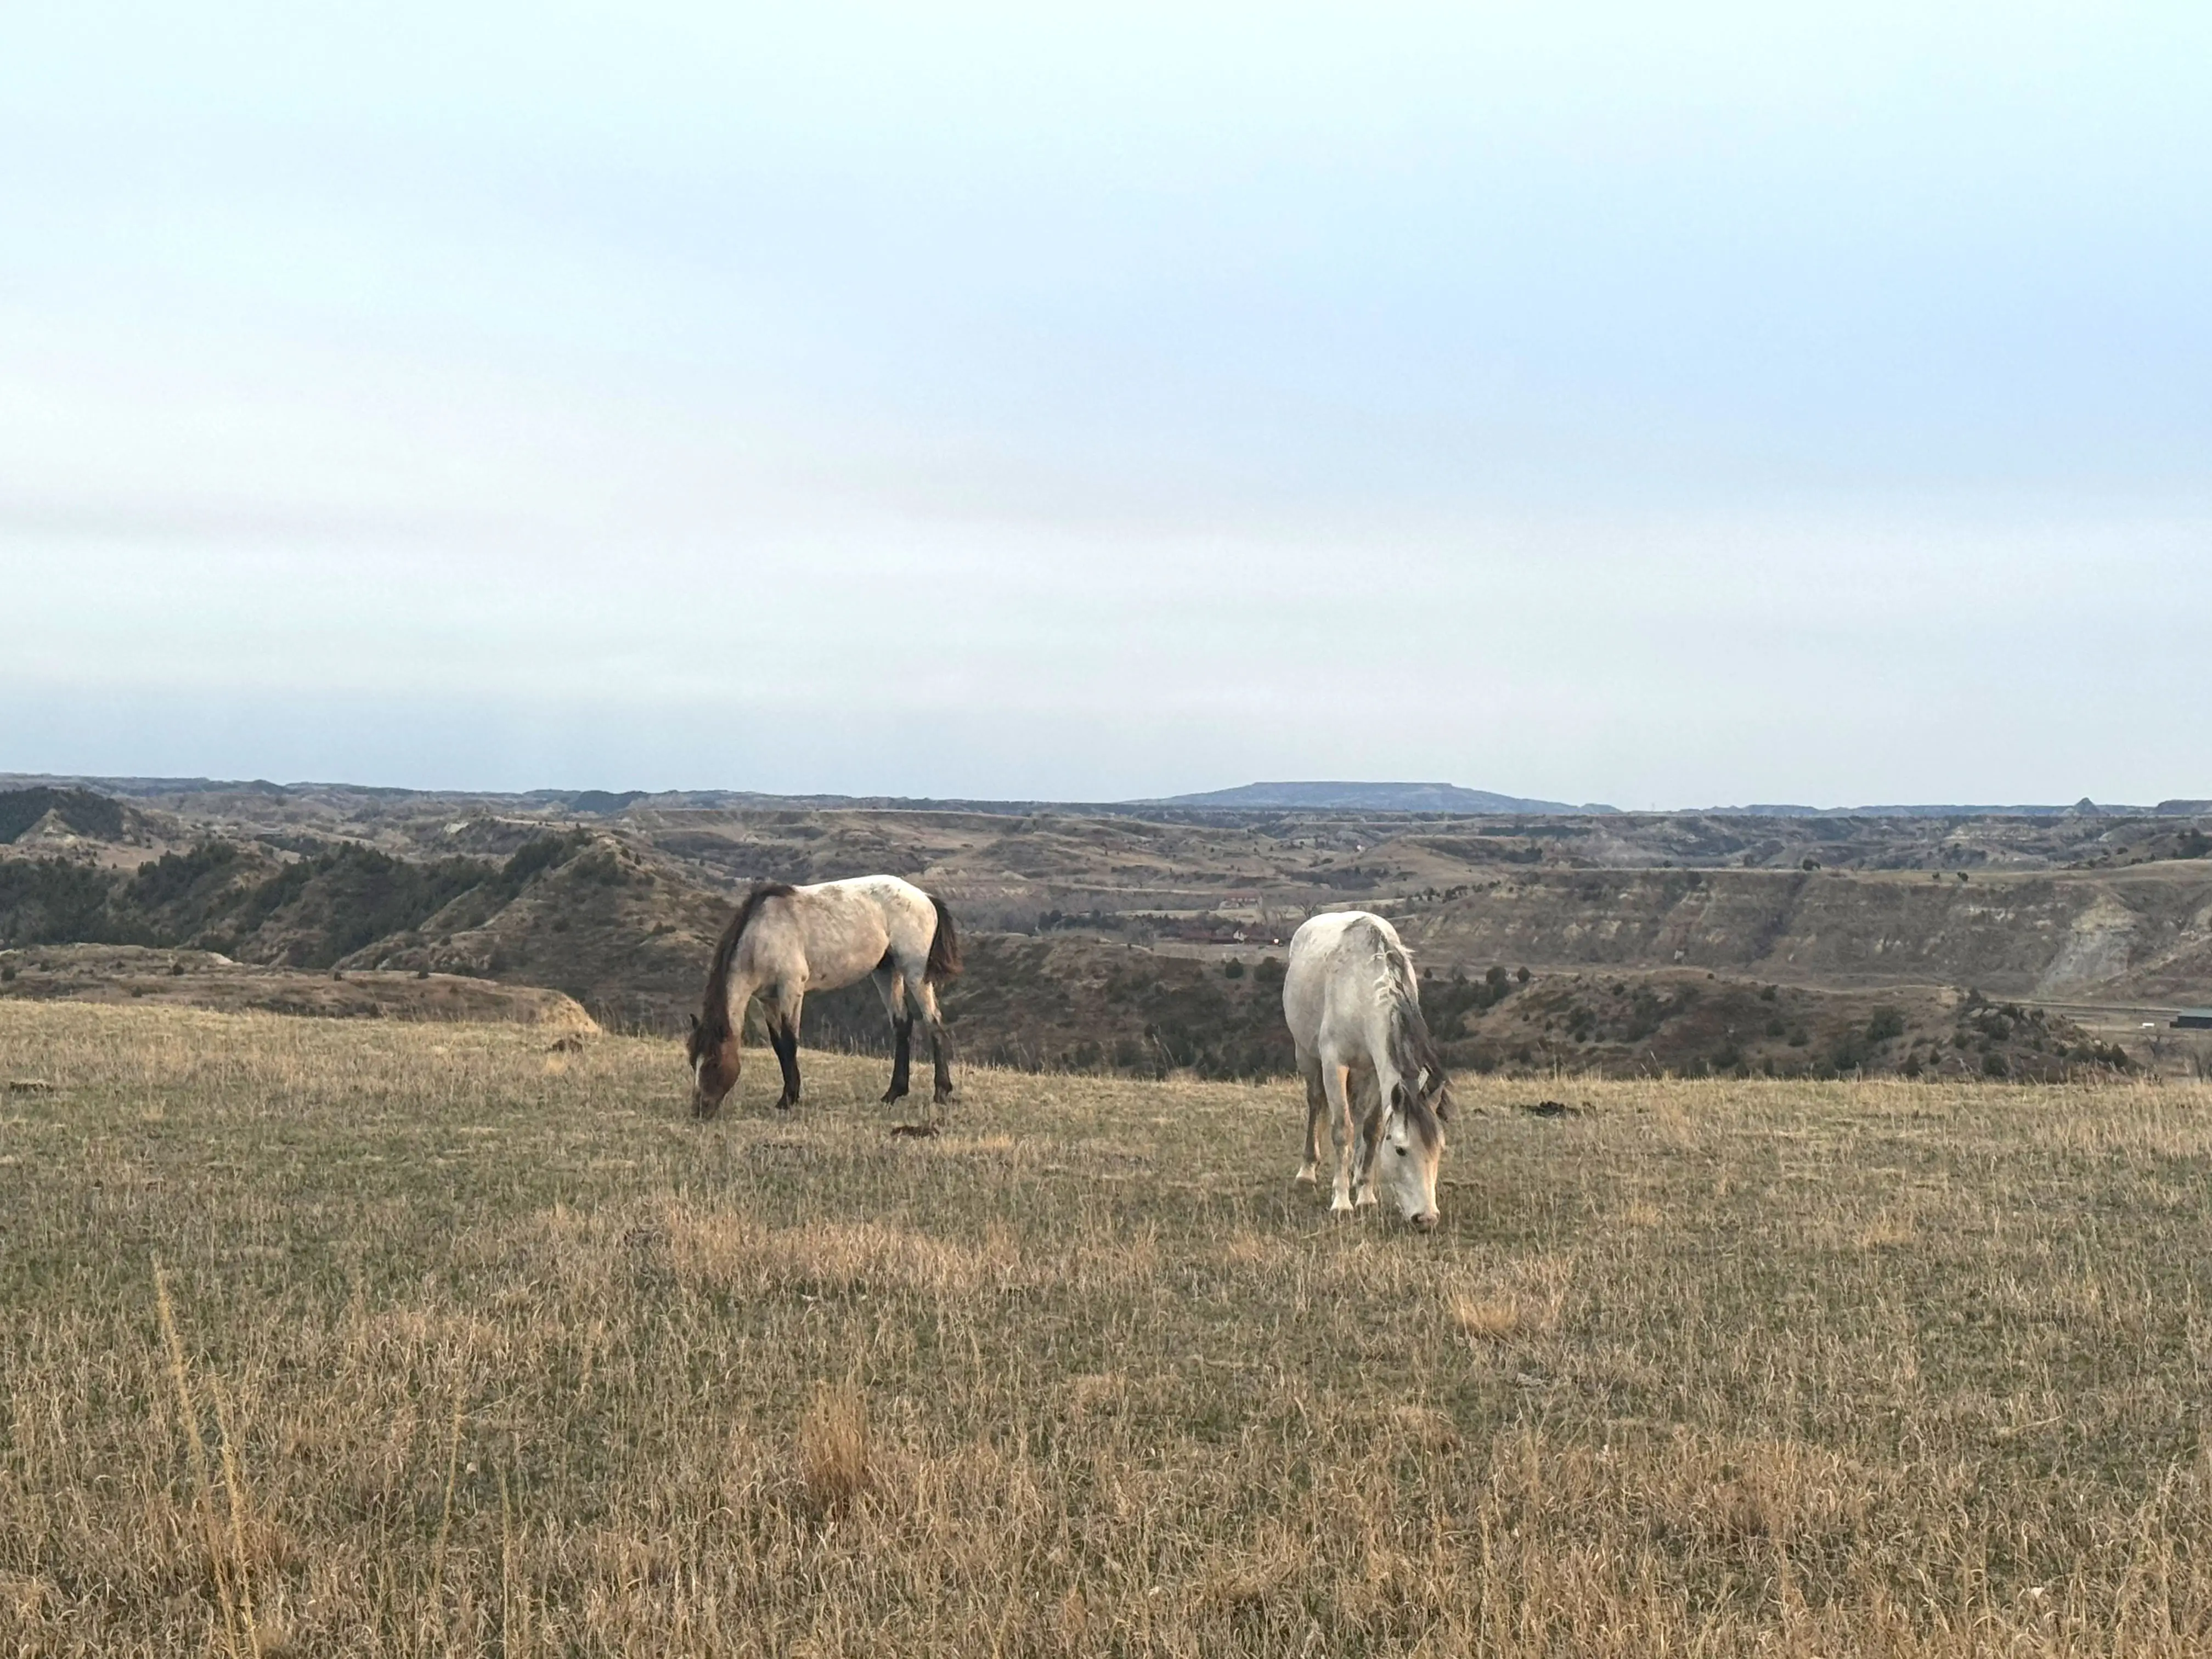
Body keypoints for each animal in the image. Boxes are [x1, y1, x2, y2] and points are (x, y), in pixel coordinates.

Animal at [685, 876, 961, 1118]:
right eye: (692, 1062)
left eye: (713, 1063)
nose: (699, 1110)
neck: (761, 935)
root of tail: (925, 897)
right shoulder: (767, 1000)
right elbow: (778, 1045)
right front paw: (787, 1096)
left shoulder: (791, 989)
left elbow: (789, 1042)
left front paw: (789, 1098)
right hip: (886, 971)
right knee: (903, 1024)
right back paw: (893, 1093)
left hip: (916, 973)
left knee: (933, 1023)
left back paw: (941, 1092)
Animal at [1282, 909, 1452, 1228]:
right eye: (1400, 1150)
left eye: (1438, 1149)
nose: (1426, 1218)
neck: (1361, 989)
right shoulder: (1334, 1063)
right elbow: (1342, 1130)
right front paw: (1341, 1203)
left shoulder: (1375, 1068)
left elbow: (1372, 1130)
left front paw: (1364, 1195)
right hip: (1307, 1055)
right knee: (1316, 1103)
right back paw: (1307, 1173)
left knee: (1360, 1115)